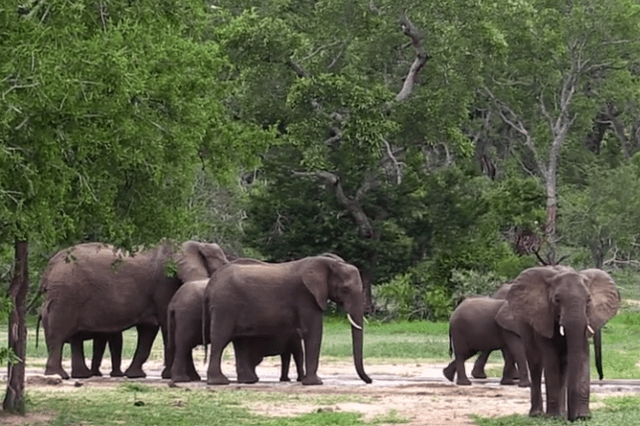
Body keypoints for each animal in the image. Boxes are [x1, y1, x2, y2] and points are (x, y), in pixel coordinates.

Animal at [40, 240, 230, 380]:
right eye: (220, 267)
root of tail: (50, 265)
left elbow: (148, 331)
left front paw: (136, 375)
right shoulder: (164, 284)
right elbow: (166, 327)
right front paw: (175, 377)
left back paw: (79, 375)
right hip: (66, 295)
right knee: (59, 332)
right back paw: (58, 375)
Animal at [205, 256, 372, 386]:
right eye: (345, 289)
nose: (369, 380)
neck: (328, 263)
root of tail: (210, 284)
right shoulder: (306, 297)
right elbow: (314, 332)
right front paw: (315, 383)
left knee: (239, 342)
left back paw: (247, 381)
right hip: (224, 306)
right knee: (220, 339)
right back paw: (219, 382)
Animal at [504, 266, 620, 420]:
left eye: (589, 299)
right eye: (557, 299)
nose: (573, 418)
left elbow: (583, 356)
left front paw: (583, 416)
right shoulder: (543, 318)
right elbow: (551, 359)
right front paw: (553, 416)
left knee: (564, 366)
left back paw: (562, 413)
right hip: (524, 324)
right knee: (535, 363)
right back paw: (538, 414)